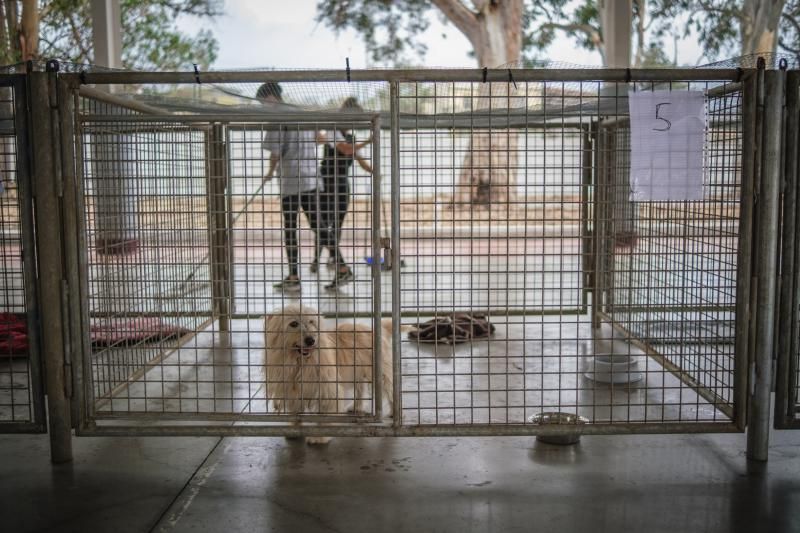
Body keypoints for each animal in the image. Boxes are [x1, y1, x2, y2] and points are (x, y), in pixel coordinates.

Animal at [266, 304, 394, 444]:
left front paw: (320, 436)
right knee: (361, 388)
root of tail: (375, 329)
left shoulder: (327, 388)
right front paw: (294, 429)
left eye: (311, 322)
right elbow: (295, 411)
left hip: (380, 374)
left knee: (390, 390)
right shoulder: (291, 389)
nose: (311, 340)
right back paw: (357, 406)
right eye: (293, 323)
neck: (301, 362)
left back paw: (394, 412)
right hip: (357, 372)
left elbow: (325, 413)